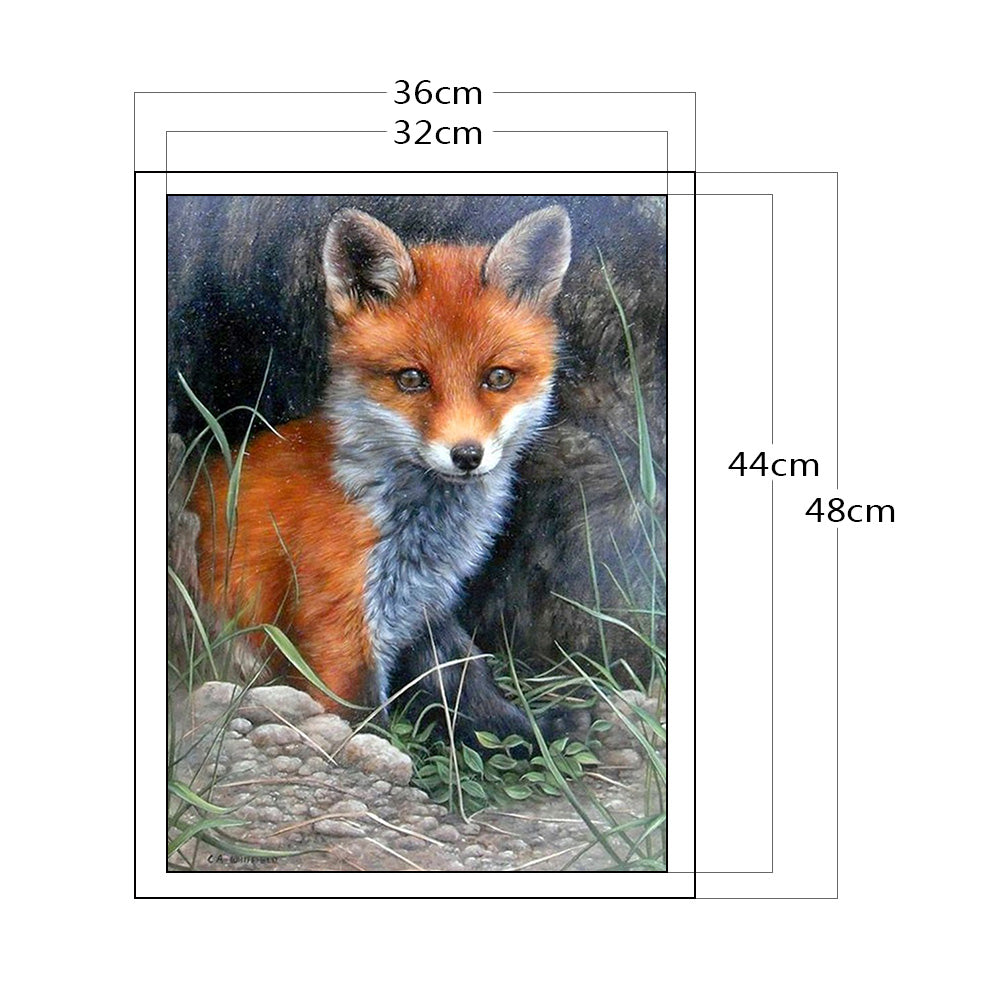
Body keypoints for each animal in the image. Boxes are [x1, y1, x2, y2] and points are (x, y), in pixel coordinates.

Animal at [190, 206, 574, 745]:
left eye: (498, 378)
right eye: (411, 379)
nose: (467, 454)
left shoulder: (428, 605)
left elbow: (469, 679)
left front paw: (525, 733)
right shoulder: (338, 625)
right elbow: (361, 718)